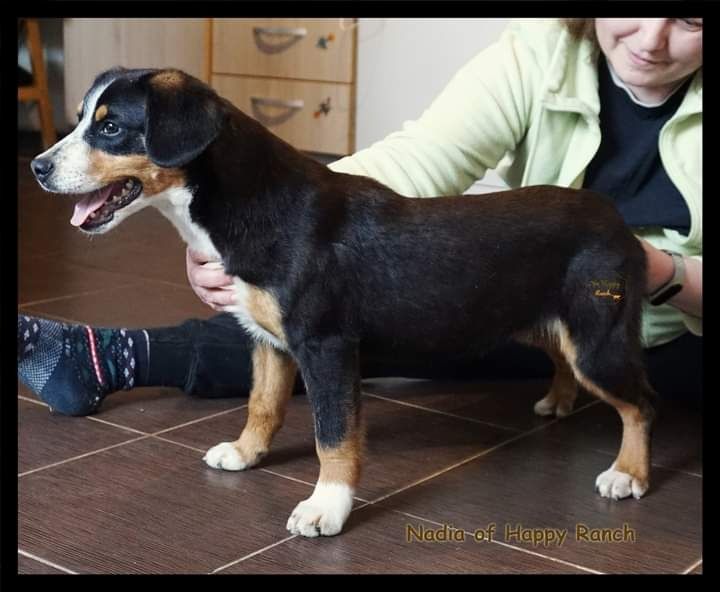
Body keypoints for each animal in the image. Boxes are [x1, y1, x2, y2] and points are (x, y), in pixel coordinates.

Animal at [33, 68, 660, 536]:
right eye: (82, 118)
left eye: (112, 127)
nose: (37, 166)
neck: (255, 206)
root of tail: (616, 221)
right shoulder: (268, 341)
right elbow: (262, 405)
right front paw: (246, 452)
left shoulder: (327, 347)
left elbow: (332, 435)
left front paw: (326, 507)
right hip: (549, 325)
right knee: (567, 364)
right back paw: (559, 402)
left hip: (598, 337)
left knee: (640, 404)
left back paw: (628, 473)